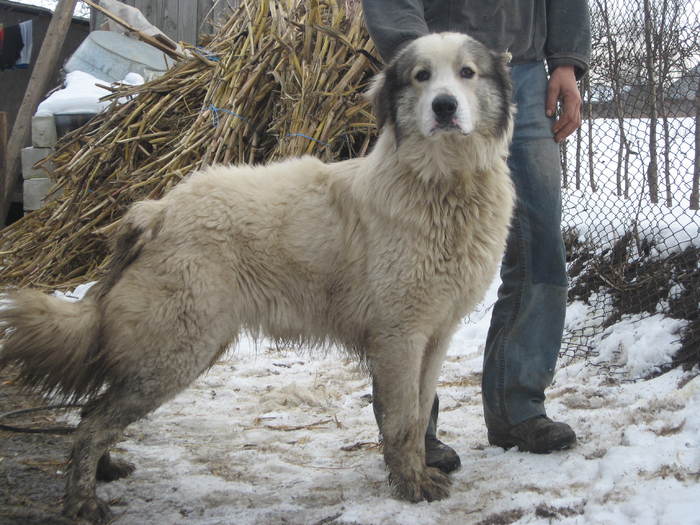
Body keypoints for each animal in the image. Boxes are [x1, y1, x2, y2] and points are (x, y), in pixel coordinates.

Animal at [0, 32, 516, 520]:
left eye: (467, 73)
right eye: (421, 77)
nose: (444, 106)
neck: (442, 184)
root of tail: (158, 210)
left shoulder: (434, 336)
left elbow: (420, 410)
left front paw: (416, 472)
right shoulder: (399, 338)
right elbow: (403, 422)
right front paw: (411, 485)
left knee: (93, 410)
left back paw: (104, 472)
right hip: (174, 355)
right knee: (94, 420)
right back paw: (83, 499)